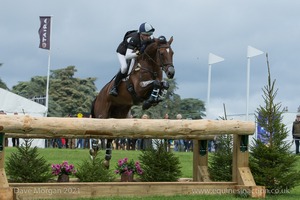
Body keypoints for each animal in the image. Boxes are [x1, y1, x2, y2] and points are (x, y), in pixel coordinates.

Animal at [90, 36, 175, 167]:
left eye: (172, 53)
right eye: (161, 53)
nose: (171, 73)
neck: (150, 66)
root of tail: (98, 96)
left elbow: (164, 84)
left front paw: (156, 98)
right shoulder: (139, 89)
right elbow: (155, 83)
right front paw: (149, 101)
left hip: (118, 115)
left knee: (110, 136)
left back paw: (106, 160)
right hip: (102, 115)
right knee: (98, 133)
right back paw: (93, 153)